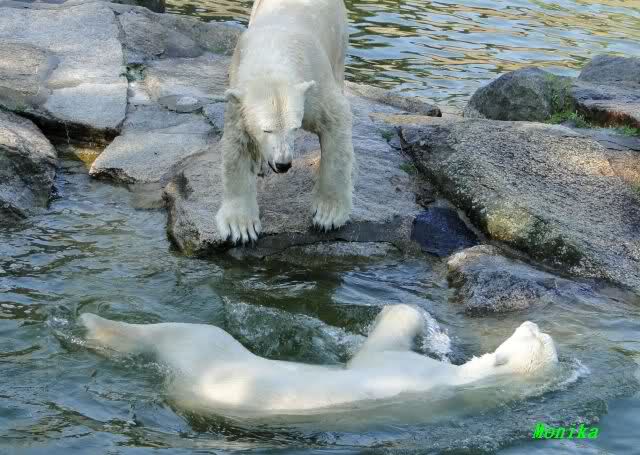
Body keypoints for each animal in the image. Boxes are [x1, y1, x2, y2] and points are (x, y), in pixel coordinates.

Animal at [215, 0, 354, 244]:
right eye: (266, 130)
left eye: (294, 128)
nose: (283, 164)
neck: (273, 51)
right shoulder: (238, 95)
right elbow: (237, 146)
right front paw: (241, 227)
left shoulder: (315, 87)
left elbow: (336, 123)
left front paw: (327, 214)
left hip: (338, 40)